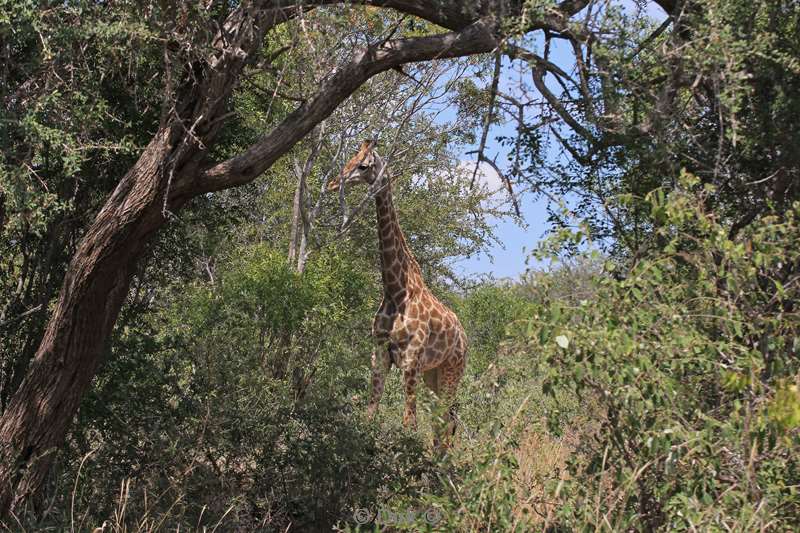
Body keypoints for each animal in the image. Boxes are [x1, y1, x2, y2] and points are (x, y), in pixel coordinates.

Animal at [328, 138, 468, 444]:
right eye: (350, 158)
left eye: (363, 165)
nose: (333, 183)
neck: (396, 290)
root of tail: (464, 337)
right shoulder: (380, 354)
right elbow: (370, 414)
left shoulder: (411, 360)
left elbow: (409, 423)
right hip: (434, 374)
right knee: (446, 420)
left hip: (452, 370)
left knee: (447, 421)